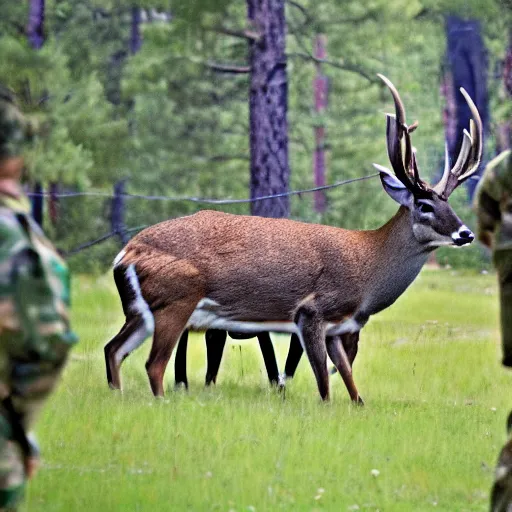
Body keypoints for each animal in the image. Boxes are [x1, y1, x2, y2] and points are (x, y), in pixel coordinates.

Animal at [103, 75, 480, 404]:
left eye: (449, 203)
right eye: (424, 205)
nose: (466, 233)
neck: (368, 270)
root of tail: (126, 252)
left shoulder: (338, 328)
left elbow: (351, 383)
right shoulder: (311, 311)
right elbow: (324, 385)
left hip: (141, 311)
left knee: (112, 349)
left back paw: (117, 397)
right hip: (176, 299)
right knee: (153, 364)